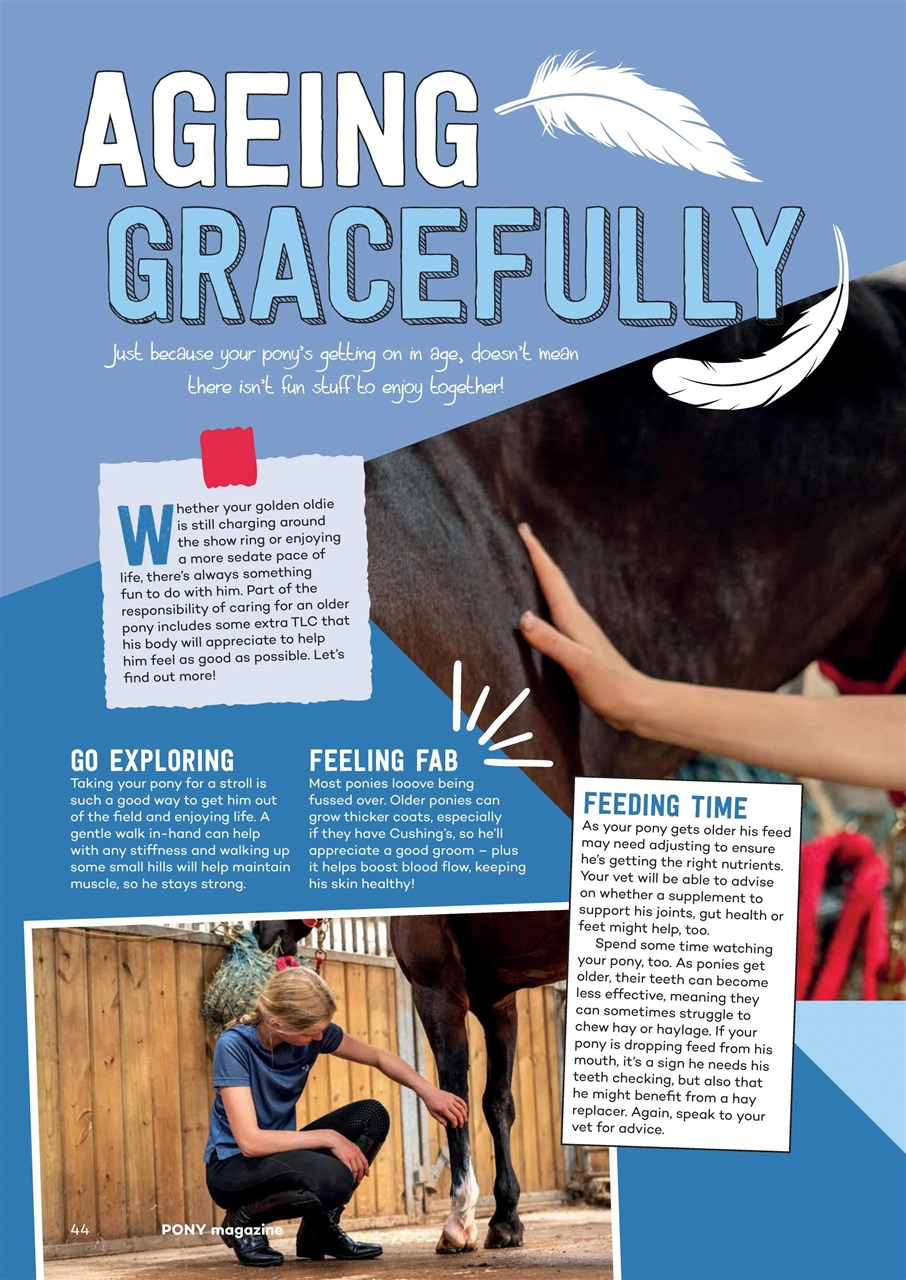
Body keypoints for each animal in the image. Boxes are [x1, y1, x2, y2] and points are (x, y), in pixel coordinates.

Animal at [266, 276, 906, 1253]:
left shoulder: (464, 966)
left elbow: (476, 1089)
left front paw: (477, 1219)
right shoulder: (470, 966)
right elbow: (482, 1092)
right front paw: (492, 1219)